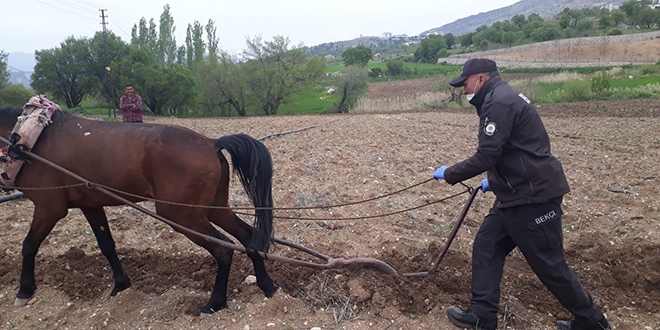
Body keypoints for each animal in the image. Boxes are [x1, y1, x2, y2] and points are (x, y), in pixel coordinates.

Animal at [0, 107, 278, 314]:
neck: (33, 141)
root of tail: (211, 143)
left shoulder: (49, 208)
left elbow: (29, 245)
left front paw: (25, 290)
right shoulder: (91, 205)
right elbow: (107, 245)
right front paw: (121, 285)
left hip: (182, 216)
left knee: (223, 250)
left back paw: (214, 303)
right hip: (212, 209)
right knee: (248, 237)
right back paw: (267, 285)